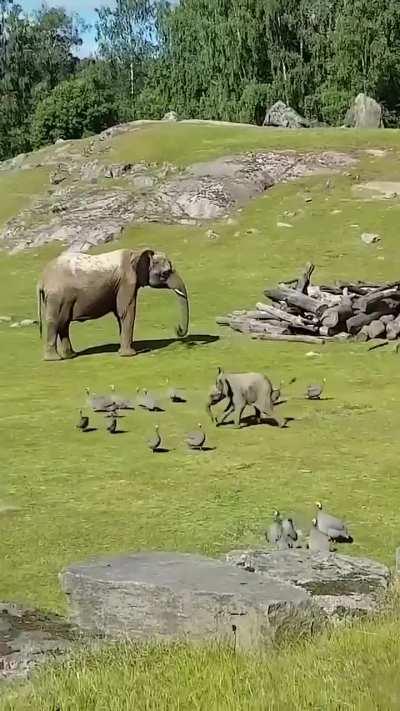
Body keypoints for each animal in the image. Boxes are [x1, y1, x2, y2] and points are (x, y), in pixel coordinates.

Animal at [37, 248, 189, 361]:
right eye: (165, 273)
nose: (178, 329)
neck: (136, 252)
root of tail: (42, 279)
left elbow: (120, 314)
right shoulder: (127, 282)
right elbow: (127, 311)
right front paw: (130, 355)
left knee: (64, 324)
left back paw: (70, 356)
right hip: (57, 297)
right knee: (55, 322)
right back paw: (54, 359)